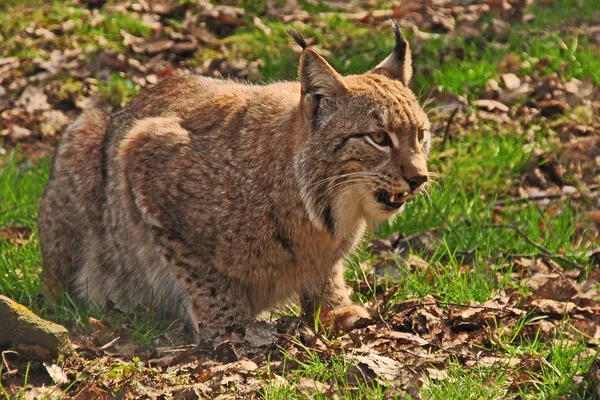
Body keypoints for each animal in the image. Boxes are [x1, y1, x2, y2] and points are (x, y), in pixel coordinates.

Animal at [37, 21, 428, 340]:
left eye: (421, 135)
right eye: (378, 138)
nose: (420, 178)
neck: (315, 205)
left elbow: (326, 268)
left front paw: (335, 310)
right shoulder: (143, 151)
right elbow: (198, 271)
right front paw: (229, 327)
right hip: (83, 129)